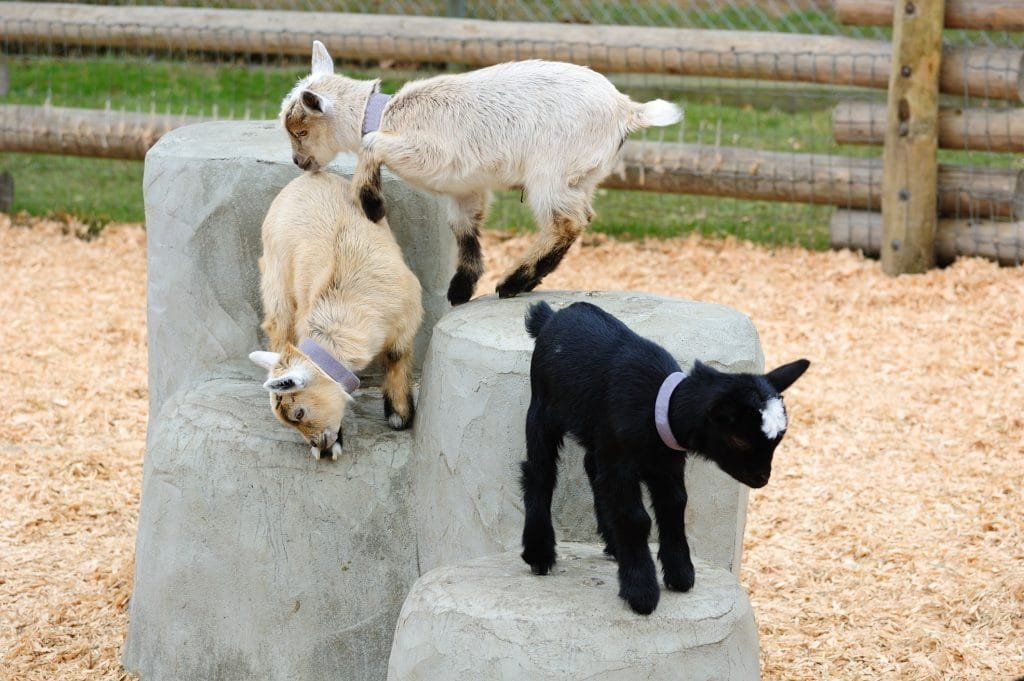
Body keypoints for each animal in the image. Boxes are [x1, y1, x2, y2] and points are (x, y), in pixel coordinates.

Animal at [249, 168, 421, 458]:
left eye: (299, 412)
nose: (319, 443)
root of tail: (311, 176)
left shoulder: (406, 319)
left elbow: (396, 356)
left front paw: (400, 414)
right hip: (276, 270)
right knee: (277, 324)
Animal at [276, 42, 684, 305]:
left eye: (300, 131)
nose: (299, 162)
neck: (387, 115)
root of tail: (626, 109)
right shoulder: (464, 187)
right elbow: (464, 228)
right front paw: (460, 289)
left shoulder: (430, 153)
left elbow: (371, 144)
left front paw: (371, 204)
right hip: (581, 176)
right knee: (580, 218)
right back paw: (527, 279)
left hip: (550, 172)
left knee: (565, 221)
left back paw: (514, 282)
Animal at [520, 301, 806, 614]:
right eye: (740, 439)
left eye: (779, 438)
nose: (762, 478)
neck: (659, 403)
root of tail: (551, 315)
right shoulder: (622, 462)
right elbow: (636, 517)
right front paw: (641, 591)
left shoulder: (666, 463)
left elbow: (675, 504)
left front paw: (680, 574)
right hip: (543, 407)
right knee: (539, 472)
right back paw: (538, 553)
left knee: (592, 468)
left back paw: (613, 543)